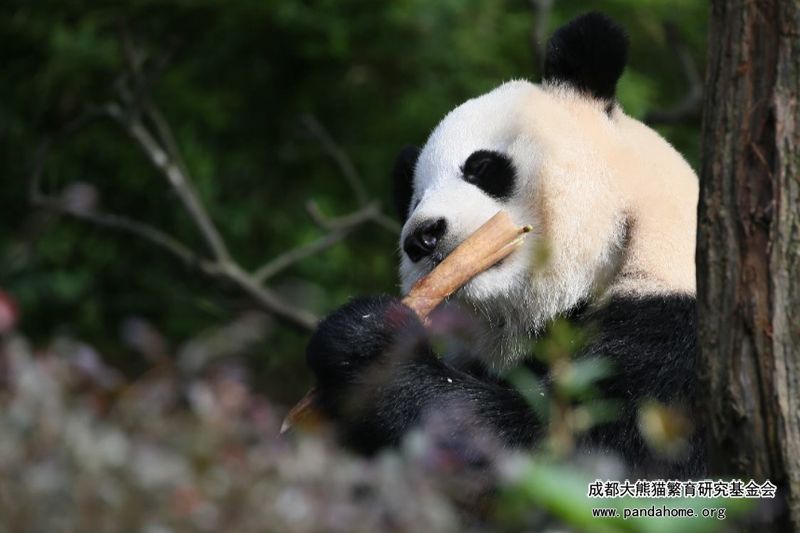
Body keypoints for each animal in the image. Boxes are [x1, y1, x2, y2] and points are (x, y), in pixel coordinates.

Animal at [306, 12, 705, 478]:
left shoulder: (678, 339)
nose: (422, 237)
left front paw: (366, 344)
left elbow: (580, 448)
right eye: (415, 202)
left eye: (479, 166)